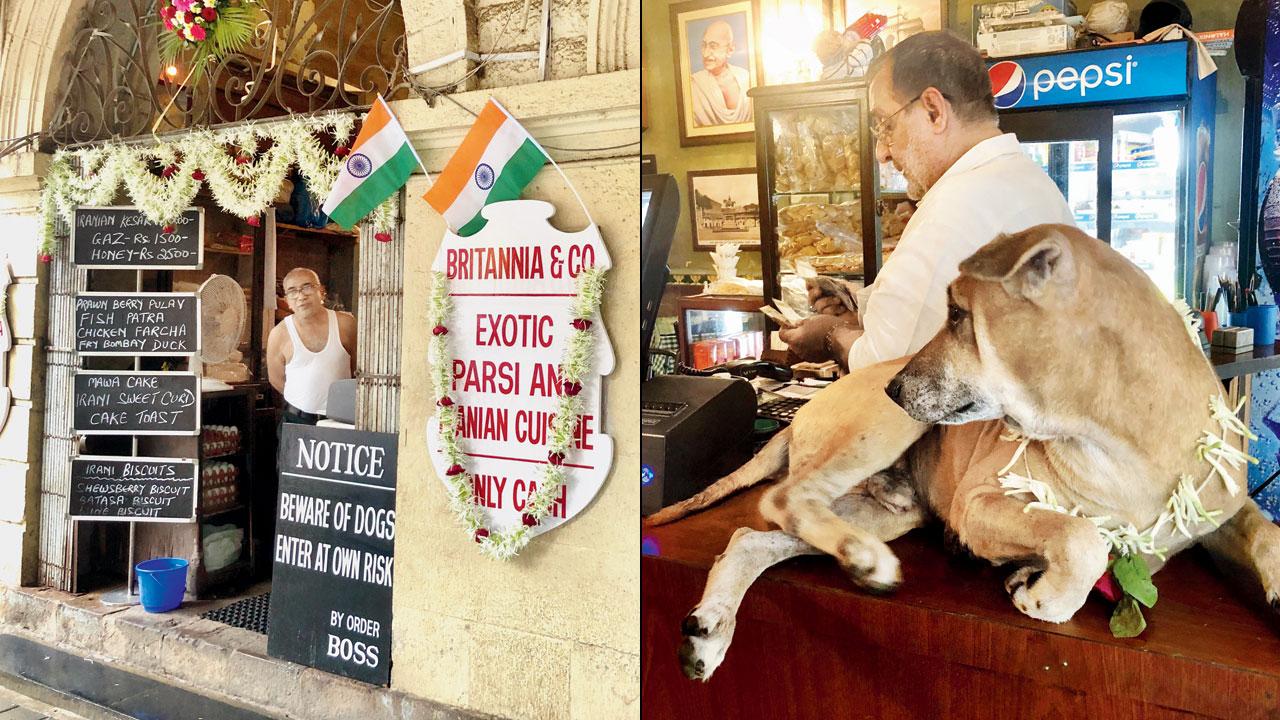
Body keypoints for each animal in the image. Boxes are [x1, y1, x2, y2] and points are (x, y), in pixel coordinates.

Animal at [650, 224, 1280, 676]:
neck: (1121, 438)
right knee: (784, 499)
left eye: (956, 315)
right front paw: (1045, 596)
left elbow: (1264, 530)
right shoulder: (983, 503)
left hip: (883, 510)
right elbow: (1082, 538)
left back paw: (713, 629)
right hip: (885, 431)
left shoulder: (1222, 506)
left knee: (752, 536)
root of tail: (796, 416)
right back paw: (864, 561)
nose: (896, 385)